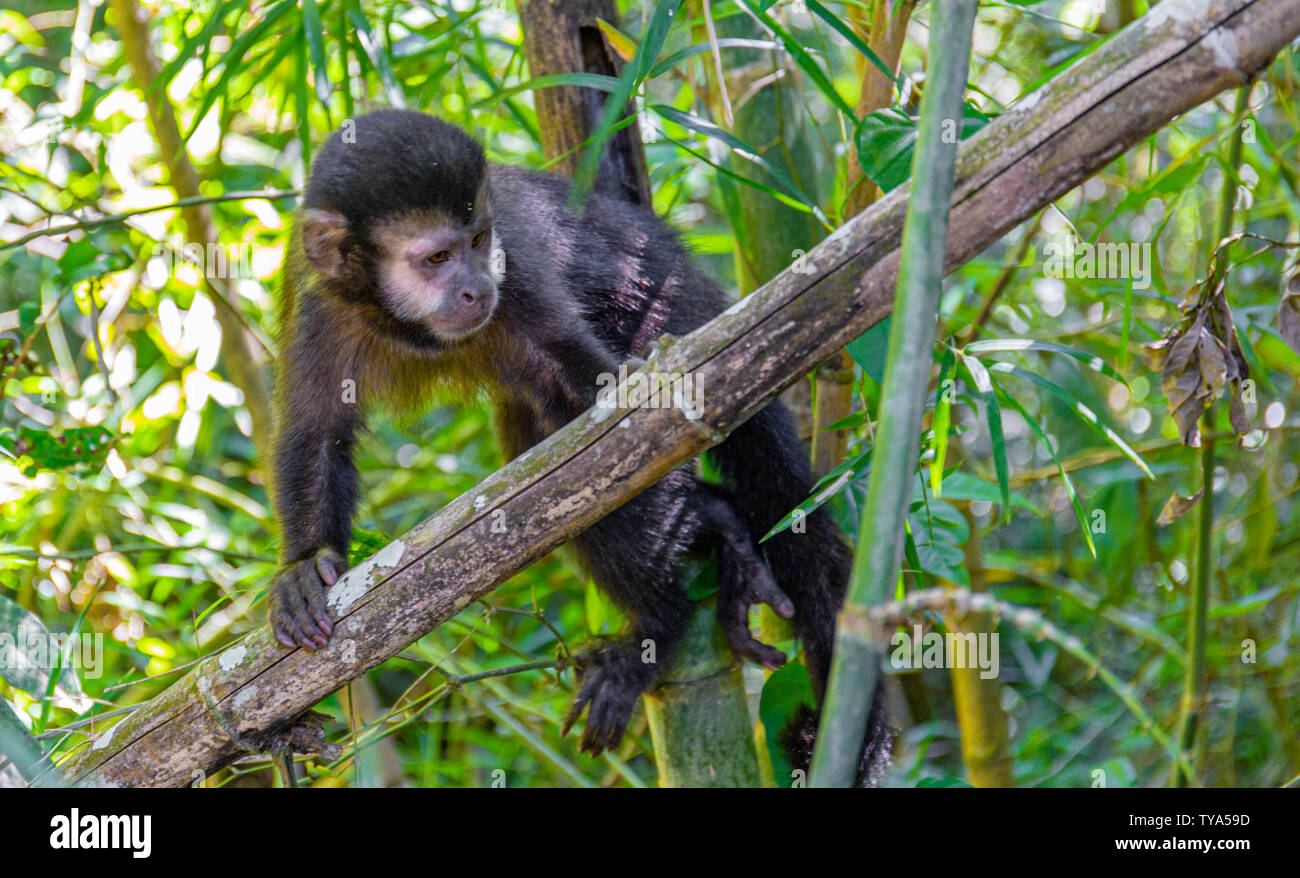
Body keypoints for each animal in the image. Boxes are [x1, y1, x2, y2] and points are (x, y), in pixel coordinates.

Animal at [269, 107, 889, 785]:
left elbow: (601, 402)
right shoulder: (319, 302)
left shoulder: (518, 272)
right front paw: (304, 567)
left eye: (480, 241)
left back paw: (662, 620)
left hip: (664, 306)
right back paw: (717, 523)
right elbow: (316, 434)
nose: (474, 287)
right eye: (436, 257)